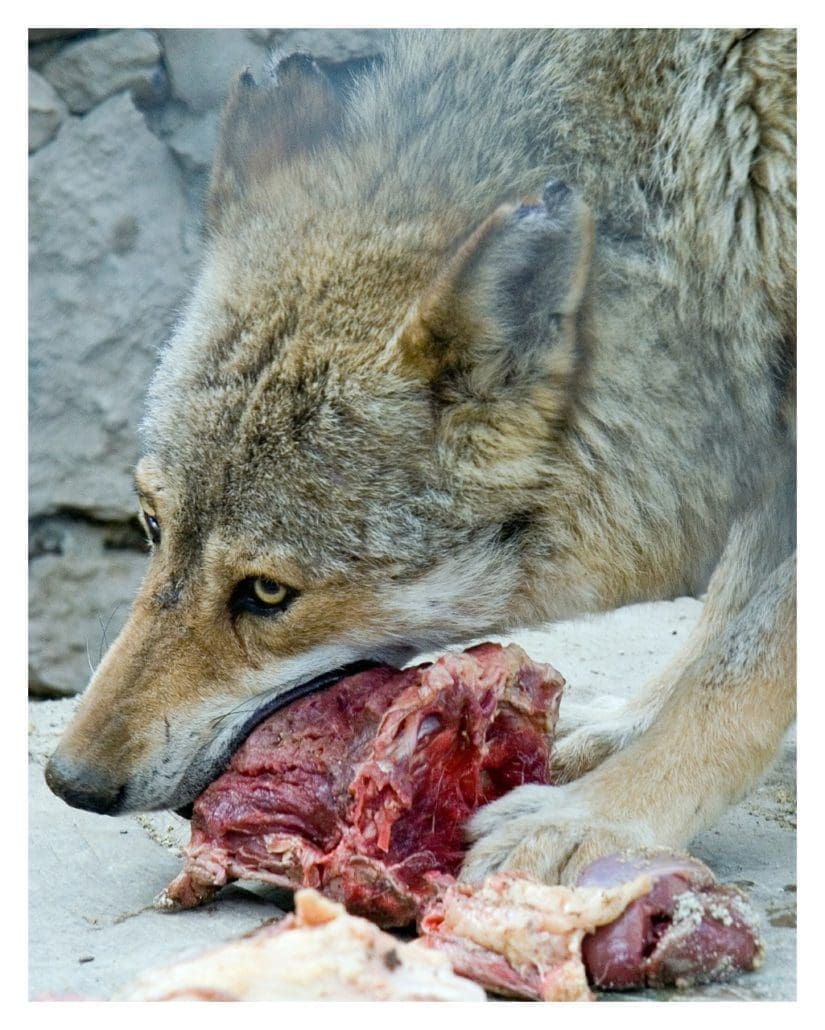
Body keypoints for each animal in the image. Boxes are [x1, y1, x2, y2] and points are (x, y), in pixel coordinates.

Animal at [45, 28, 796, 886]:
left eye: (267, 593)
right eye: (150, 525)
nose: (69, 782)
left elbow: (744, 664)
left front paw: (602, 817)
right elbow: (727, 615)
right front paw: (624, 726)